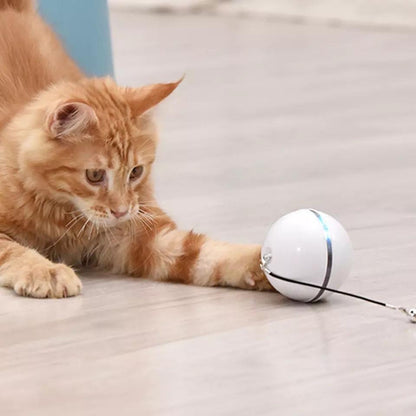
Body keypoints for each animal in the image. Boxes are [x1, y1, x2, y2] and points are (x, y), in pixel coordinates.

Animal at [0, 0, 272, 300]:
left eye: (136, 172)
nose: (120, 211)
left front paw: (265, 264)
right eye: (94, 175)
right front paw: (46, 270)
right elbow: (15, 250)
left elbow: (205, 253)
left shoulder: (136, 235)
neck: (63, 213)